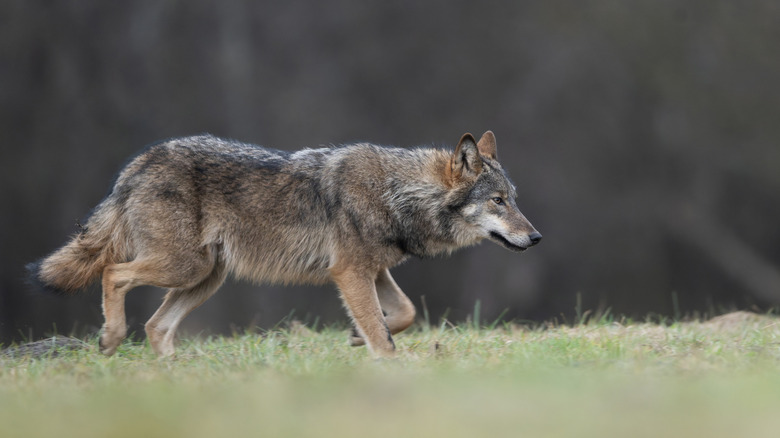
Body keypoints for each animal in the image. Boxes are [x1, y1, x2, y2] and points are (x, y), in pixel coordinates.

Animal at [28, 131, 541, 358]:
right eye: (497, 201)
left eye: (514, 199)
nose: (536, 237)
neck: (398, 193)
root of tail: (138, 163)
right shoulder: (350, 272)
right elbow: (385, 334)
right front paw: (383, 355)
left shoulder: (372, 271)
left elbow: (404, 313)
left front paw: (357, 336)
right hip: (184, 268)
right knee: (112, 274)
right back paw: (111, 338)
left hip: (205, 278)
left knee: (156, 325)